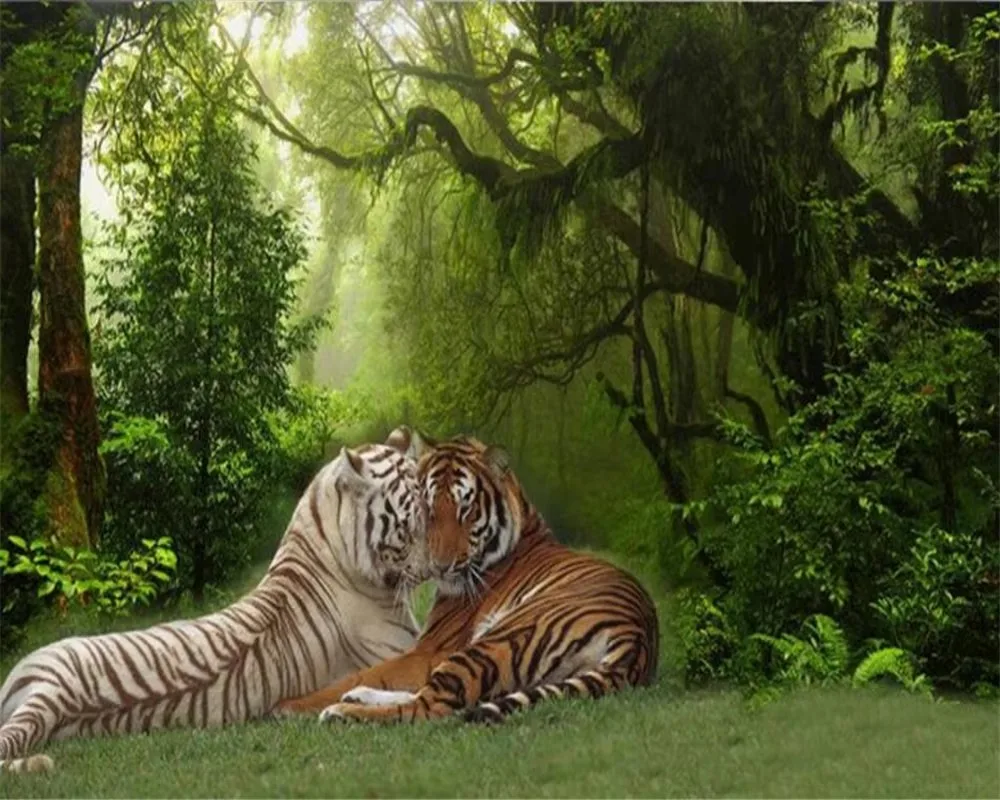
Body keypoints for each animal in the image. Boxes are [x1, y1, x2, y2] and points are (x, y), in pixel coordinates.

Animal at [276, 433, 659, 725]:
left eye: (467, 510)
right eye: (428, 509)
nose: (440, 566)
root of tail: (636, 638)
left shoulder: (431, 650)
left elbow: (365, 671)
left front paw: (289, 705)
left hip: (498, 640)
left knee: (430, 707)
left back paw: (341, 711)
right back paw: (356, 698)